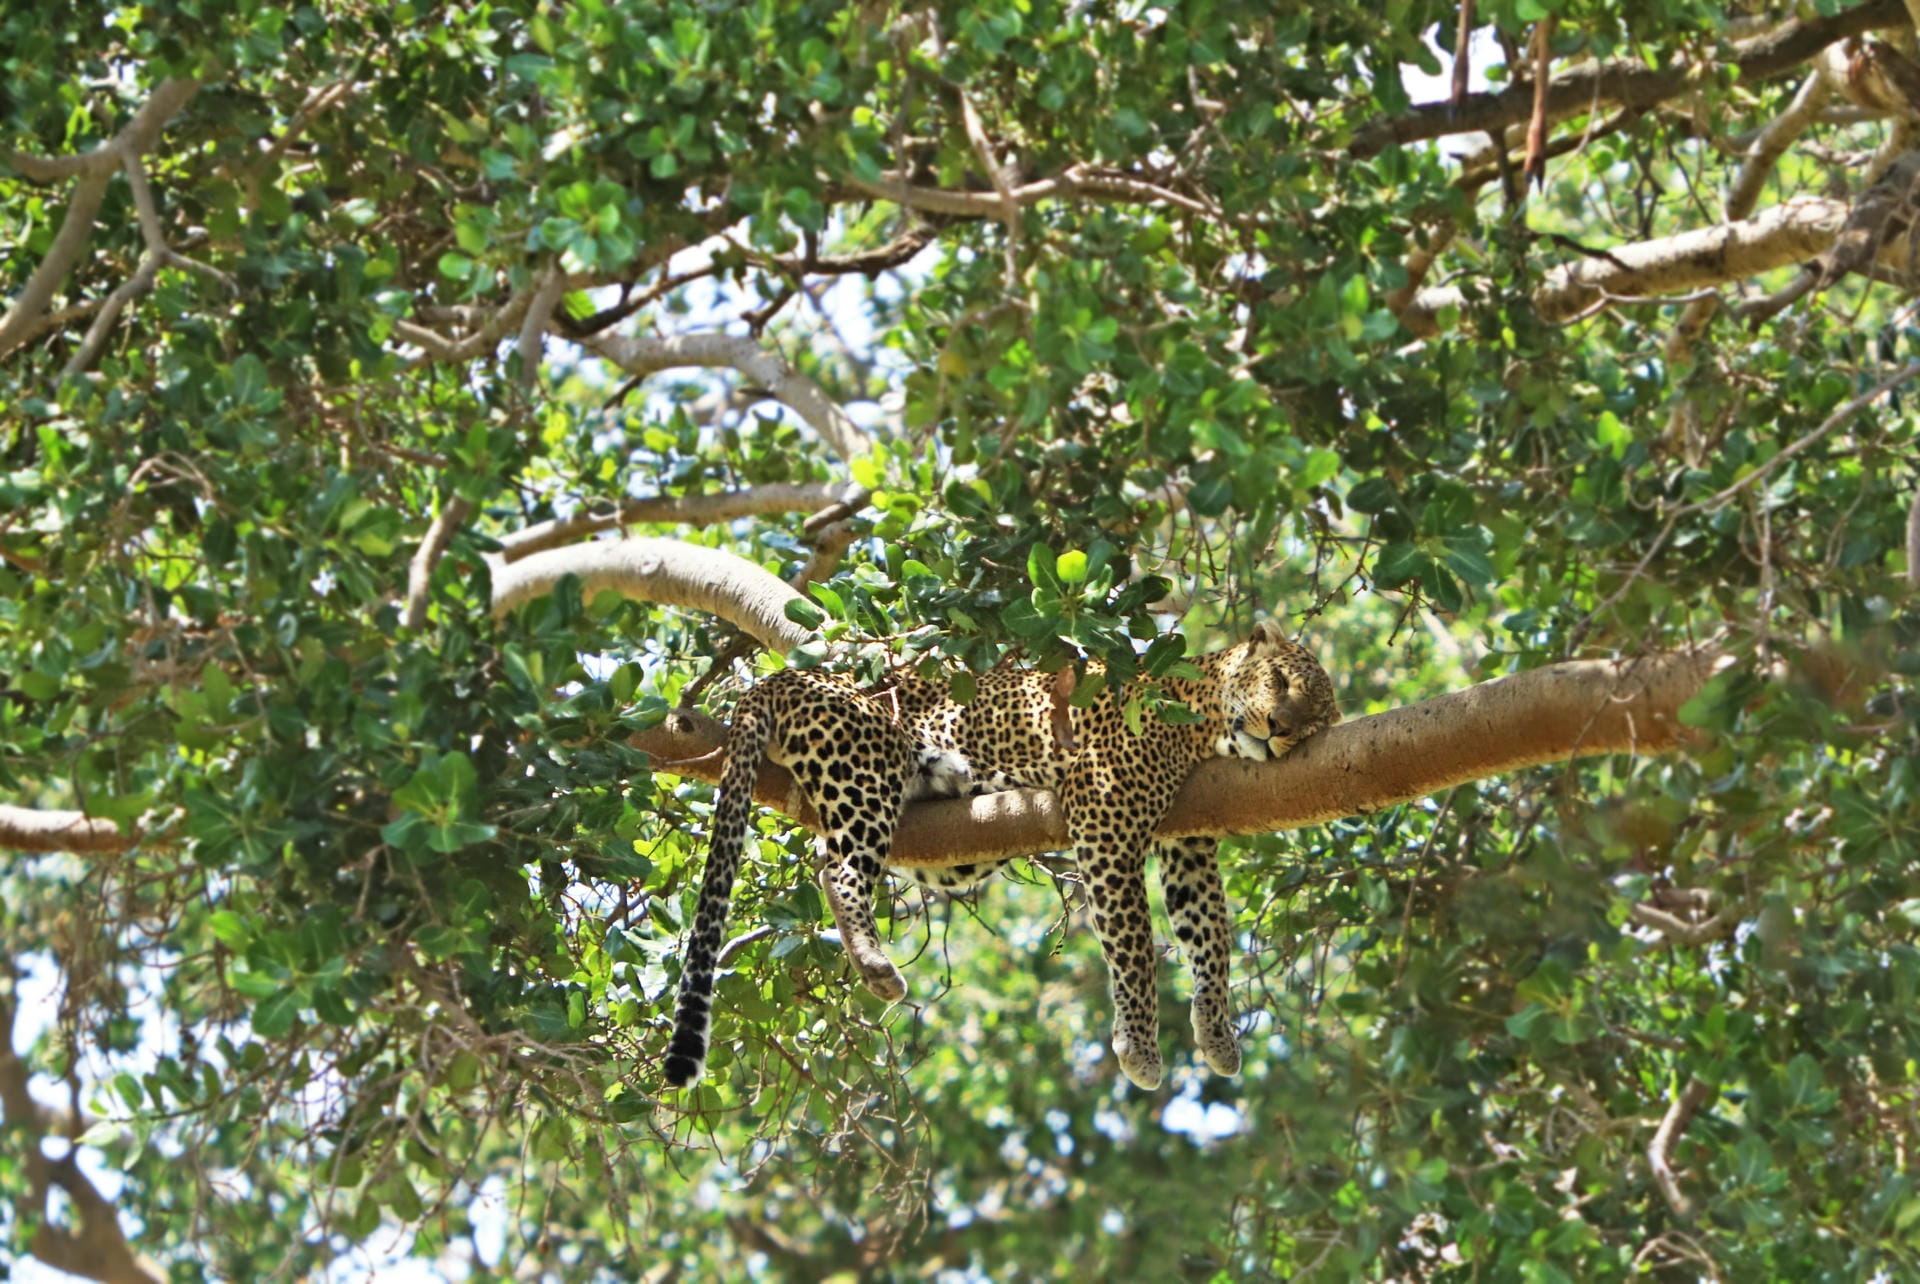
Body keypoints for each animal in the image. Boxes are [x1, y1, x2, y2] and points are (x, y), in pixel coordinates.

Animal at [661, 618, 1339, 1092]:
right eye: (1280, 683)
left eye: (1313, 723)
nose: (1280, 729)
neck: (1205, 727)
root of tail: (777, 677)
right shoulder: (1106, 815)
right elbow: (1134, 948)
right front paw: (1141, 1049)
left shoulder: (1189, 846)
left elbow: (1210, 939)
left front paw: (1217, 1033)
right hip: (866, 766)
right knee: (839, 869)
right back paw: (877, 965)